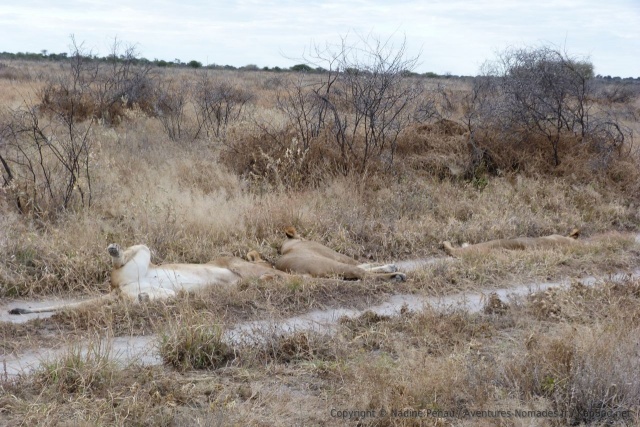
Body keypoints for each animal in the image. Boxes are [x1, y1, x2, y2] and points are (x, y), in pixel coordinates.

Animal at [9, 243, 287, 315]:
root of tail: (117, 289)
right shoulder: (239, 266)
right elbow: (275, 274)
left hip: (166, 292)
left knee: (143, 299)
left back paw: (144, 298)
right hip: (143, 251)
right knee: (122, 257)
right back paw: (115, 250)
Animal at [274, 227, 406, 282]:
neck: (288, 247)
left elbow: (363, 264)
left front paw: (389, 266)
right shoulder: (336, 255)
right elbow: (361, 264)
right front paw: (389, 266)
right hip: (332, 264)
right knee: (361, 273)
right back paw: (396, 277)